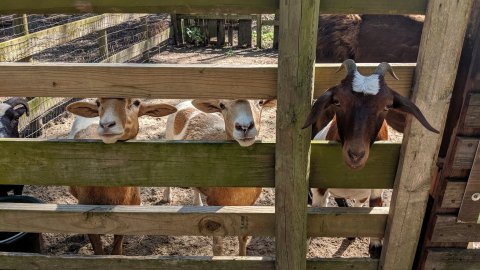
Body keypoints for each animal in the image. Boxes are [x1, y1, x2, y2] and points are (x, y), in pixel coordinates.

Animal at [165, 98, 274, 255]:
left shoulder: (249, 205)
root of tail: (185, 103)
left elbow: (243, 237)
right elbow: (217, 247)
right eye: (222, 106)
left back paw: (197, 204)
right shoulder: (215, 209)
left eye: (260, 102)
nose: (244, 127)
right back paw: (167, 197)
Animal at [304, 60, 438, 258]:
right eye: (337, 101)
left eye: (387, 106)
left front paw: (372, 243)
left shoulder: (374, 190)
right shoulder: (320, 187)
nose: (355, 155)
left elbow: (373, 209)